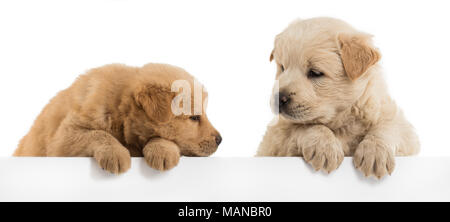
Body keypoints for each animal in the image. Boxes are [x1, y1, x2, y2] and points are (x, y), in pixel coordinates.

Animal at [14, 62, 222, 173]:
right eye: (194, 118)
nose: (220, 139)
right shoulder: (63, 137)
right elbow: (99, 134)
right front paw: (115, 153)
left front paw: (162, 150)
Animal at [258, 17, 420, 179]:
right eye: (282, 67)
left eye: (315, 73)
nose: (278, 99)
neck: (342, 123)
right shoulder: (275, 138)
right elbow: (305, 126)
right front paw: (324, 147)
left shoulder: (403, 128)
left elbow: (389, 126)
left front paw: (375, 153)